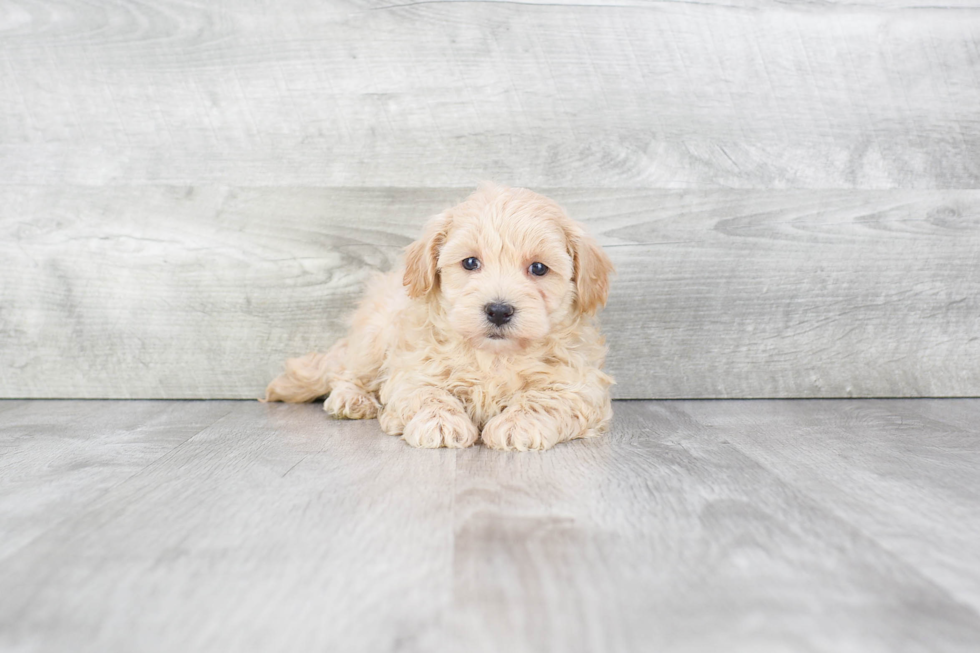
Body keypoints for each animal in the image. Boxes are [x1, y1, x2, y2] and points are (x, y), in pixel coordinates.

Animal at [264, 182, 616, 448]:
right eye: (470, 263)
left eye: (539, 268)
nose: (498, 310)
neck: (493, 356)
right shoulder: (412, 369)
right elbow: (428, 393)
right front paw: (441, 424)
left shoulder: (580, 385)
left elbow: (546, 398)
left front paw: (518, 424)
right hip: (373, 339)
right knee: (346, 372)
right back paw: (351, 400)